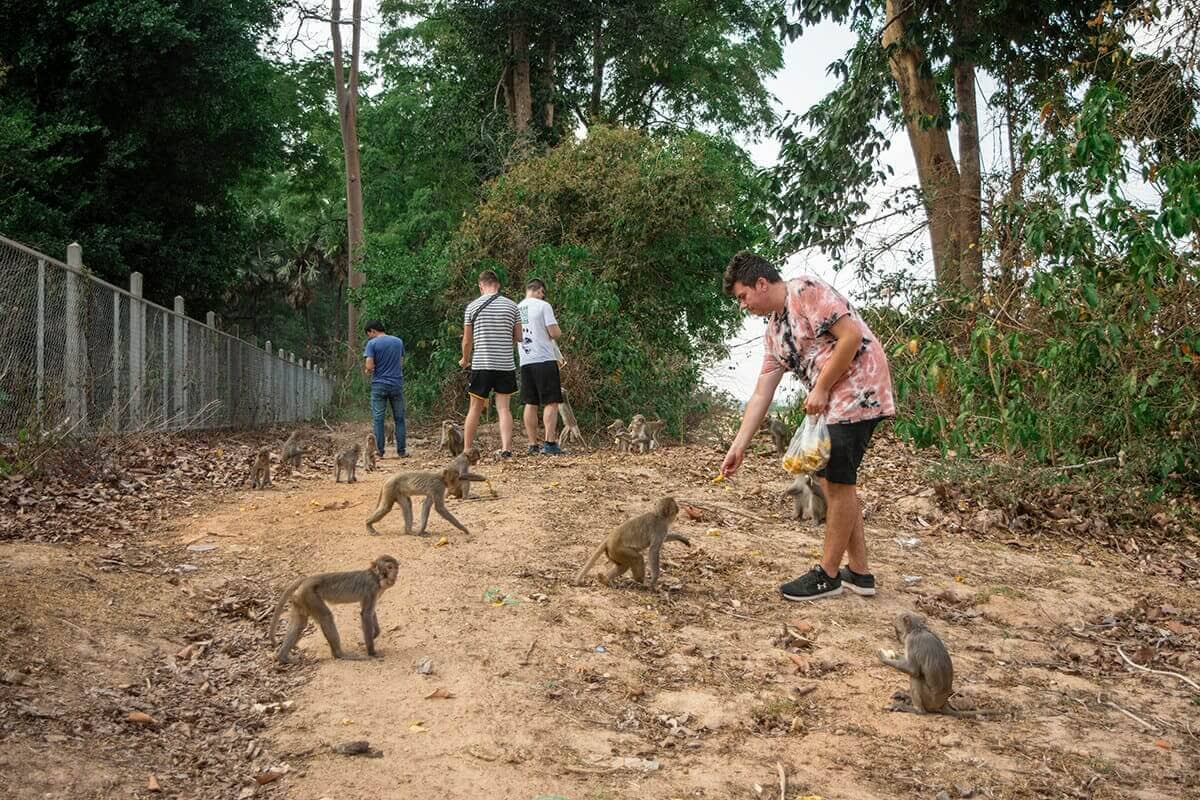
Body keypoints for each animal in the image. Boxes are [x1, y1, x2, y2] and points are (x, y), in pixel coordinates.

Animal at [269, 555, 400, 664]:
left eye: (395, 568)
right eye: (389, 567)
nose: (395, 575)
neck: (377, 578)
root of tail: (307, 579)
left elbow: (370, 612)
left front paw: (374, 634)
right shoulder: (371, 588)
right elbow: (366, 614)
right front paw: (372, 652)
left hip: (300, 598)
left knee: (300, 623)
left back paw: (283, 657)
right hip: (309, 595)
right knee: (326, 617)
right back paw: (340, 654)